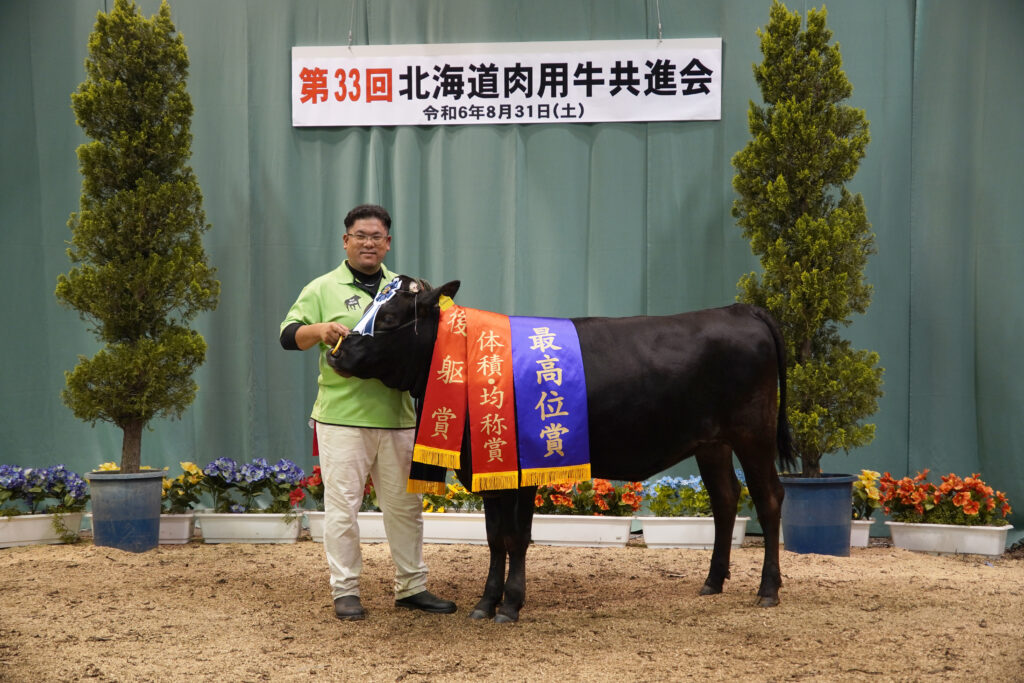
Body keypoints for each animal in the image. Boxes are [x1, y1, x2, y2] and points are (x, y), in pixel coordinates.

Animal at [331, 274, 794, 622]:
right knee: (726, 499)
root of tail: (739, 309)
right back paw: (713, 582)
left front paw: (509, 605)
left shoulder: (518, 472)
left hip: (753, 432)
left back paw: (768, 589)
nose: (338, 351)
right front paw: (487, 602)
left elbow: (515, 537)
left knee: (769, 498)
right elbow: (496, 537)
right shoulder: (489, 467)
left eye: (389, 316)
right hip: (712, 442)